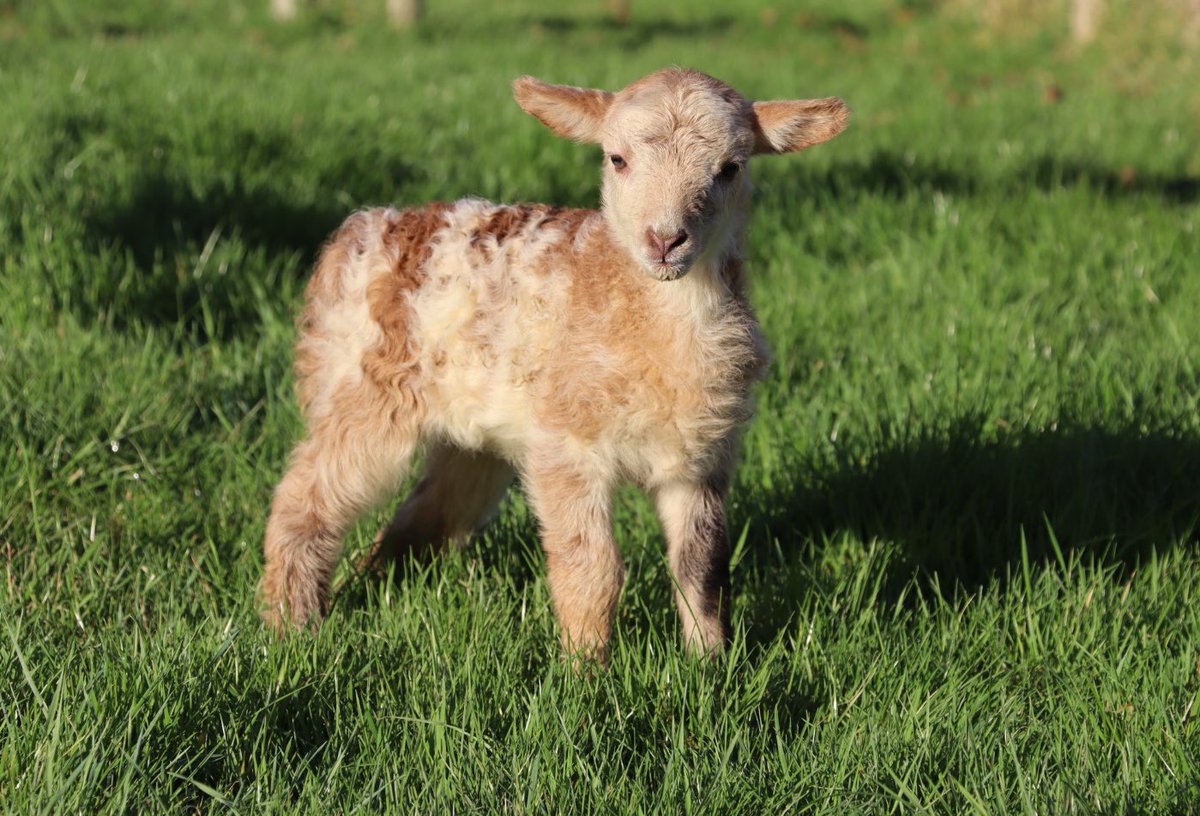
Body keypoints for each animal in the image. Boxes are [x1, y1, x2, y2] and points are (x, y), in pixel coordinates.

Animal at [260, 67, 849, 660]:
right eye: (616, 159)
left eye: (730, 168)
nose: (665, 239)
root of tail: (359, 229)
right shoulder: (565, 443)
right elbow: (593, 568)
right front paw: (586, 667)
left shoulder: (701, 455)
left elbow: (702, 568)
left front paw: (710, 662)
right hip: (362, 392)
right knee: (303, 497)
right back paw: (291, 624)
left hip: (473, 435)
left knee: (431, 510)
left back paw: (372, 580)